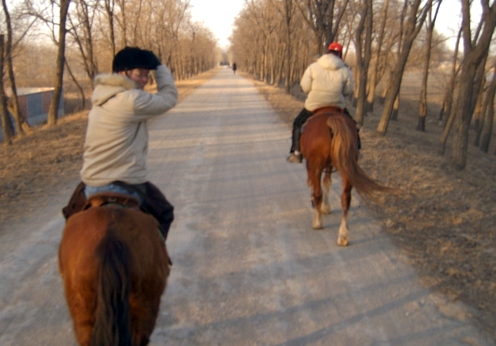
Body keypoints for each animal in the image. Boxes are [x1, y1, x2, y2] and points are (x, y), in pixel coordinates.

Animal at [298, 107, 392, 245]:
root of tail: (332, 119)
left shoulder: (313, 166)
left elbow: (316, 185)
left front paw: (318, 206)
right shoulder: (329, 165)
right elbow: (327, 183)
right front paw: (326, 207)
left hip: (317, 165)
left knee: (318, 193)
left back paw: (317, 222)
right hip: (346, 166)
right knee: (345, 198)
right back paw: (343, 235)